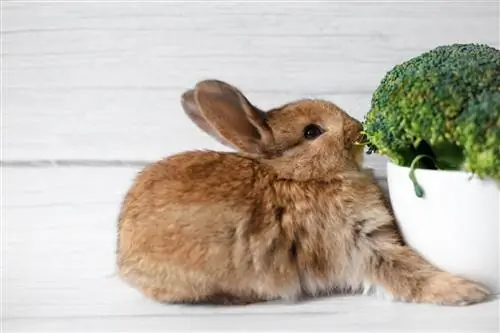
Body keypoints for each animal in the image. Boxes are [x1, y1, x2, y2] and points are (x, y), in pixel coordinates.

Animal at [115, 79, 490, 304]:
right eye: (311, 132)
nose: (360, 130)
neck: (304, 178)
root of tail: (122, 256)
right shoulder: (358, 245)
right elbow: (407, 273)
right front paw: (469, 291)